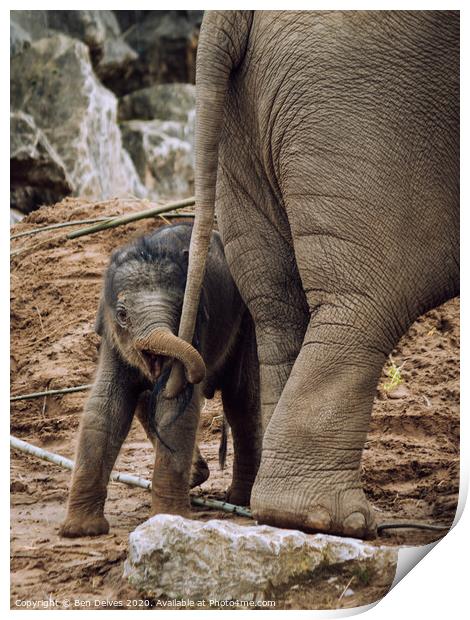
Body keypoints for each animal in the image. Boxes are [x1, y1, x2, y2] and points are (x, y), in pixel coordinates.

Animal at [59, 224, 260, 536]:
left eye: (180, 309)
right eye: (122, 314)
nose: (198, 373)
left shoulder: (195, 329)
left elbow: (177, 409)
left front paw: (168, 517)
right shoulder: (111, 340)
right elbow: (105, 406)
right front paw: (81, 530)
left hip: (246, 323)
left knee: (241, 401)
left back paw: (238, 499)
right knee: (145, 401)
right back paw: (197, 477)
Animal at [166, 12, 458, 540]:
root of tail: (226, 14)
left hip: (246, 137)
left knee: (277, 306)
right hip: (361, 116)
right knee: (365, 303)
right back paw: (336, 520)